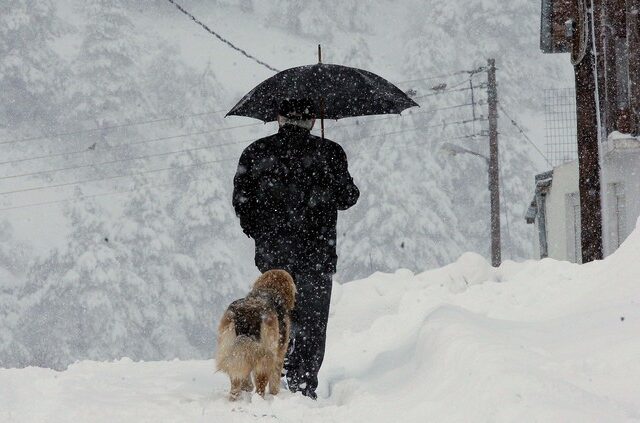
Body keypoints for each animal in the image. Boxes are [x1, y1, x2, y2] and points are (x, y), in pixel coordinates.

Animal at [215, 270, 296, 402]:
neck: (269, 289)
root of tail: (248, 314)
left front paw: (247, 387)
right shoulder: (279, 352)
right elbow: (275, 378)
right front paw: (274, 393)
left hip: (230, 347)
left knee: (236, 378)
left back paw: (237, 395)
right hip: (265, 354)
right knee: (260, 384)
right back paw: (260, 399)